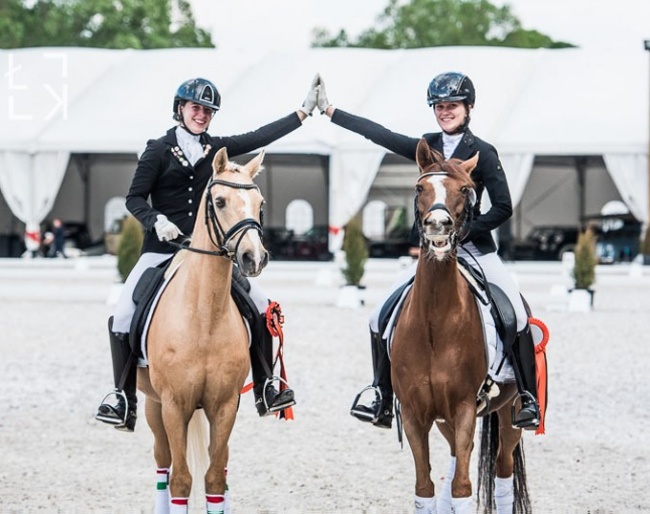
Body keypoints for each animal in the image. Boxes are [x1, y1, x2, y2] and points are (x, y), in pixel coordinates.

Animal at [137, 145, 268, 512]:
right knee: (163, 464)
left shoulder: (224, 405)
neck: (204, 316)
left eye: (260, 204)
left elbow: (214, 478)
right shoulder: (173, 404)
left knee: (219, 465)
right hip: (152, 405)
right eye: (220, 201)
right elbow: (181, 480)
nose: (254, 258)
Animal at [388, 138, 528, 510]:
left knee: (502, 470)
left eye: (465, 189)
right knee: (454, 461)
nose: (438, 225)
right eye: (420, 187)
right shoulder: (415, 414)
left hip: (511, 412)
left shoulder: (464, 408)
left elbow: (463, 489)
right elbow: (426, 488)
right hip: (444, 420)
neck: (435, 322)